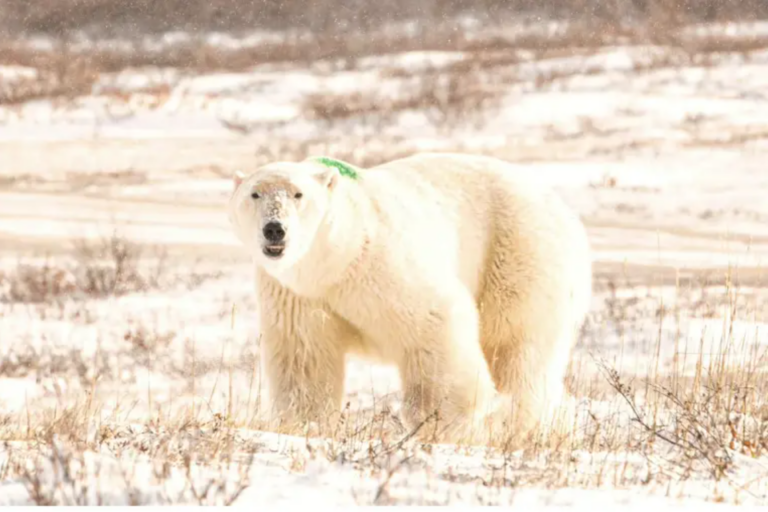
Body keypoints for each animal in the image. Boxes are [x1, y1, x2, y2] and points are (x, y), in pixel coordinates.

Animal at [227, 152, 592, 445]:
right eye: (254, 194)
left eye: (298, 194)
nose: (274, 229)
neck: (336, 260)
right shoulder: (297, 293)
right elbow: (303, 356)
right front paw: (303, 423)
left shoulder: (381, 264)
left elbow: (436, 320)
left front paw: (442, 422)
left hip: (519, 253)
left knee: (514, 345)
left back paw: (518, 424)